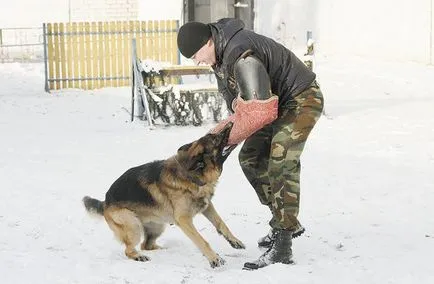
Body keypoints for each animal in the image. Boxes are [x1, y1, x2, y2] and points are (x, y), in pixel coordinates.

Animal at [82, 122, 244, 268]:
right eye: (215, 139)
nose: (231, 122)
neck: (191, 175)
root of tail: (105, 201)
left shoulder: (207, 206)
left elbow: (221, 223)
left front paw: (234, 241)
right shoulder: (184, 220)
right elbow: (201, 240)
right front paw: (214, 258)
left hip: (157, 227)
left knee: (146, 245)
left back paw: (164, 250)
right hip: (133, 225)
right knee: (130, 250)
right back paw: (139, 256)